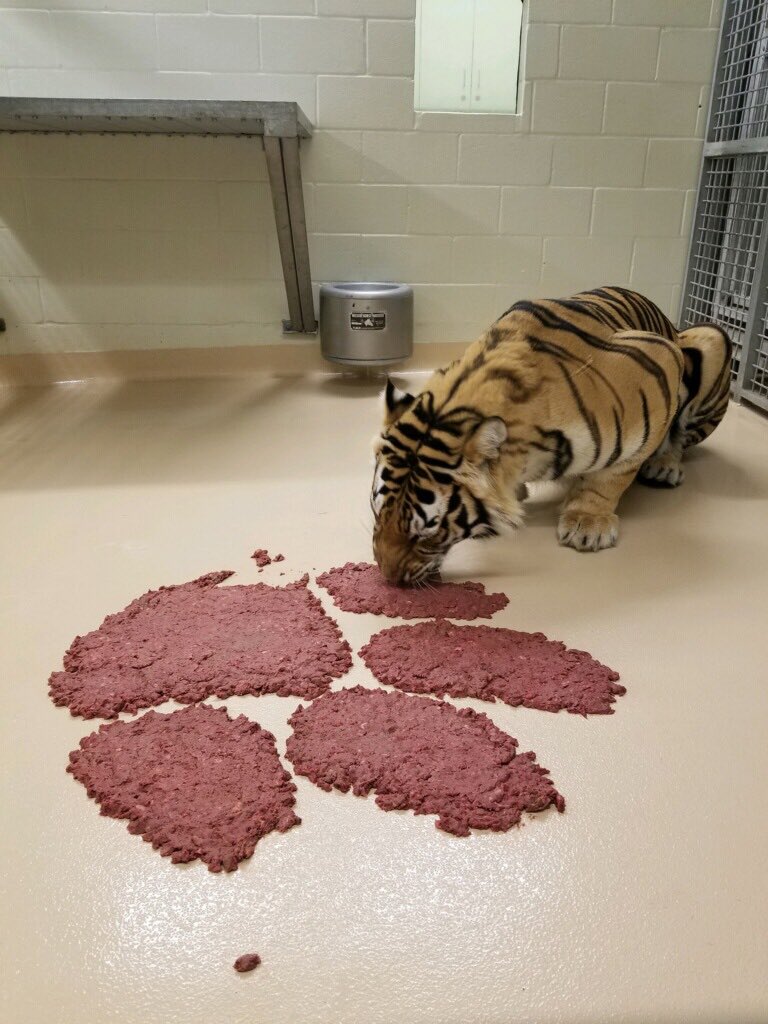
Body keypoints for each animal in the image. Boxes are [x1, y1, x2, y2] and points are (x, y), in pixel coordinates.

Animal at [371, 286, 732, 585]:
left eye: (427, 534)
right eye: (377, 512)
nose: (387, 578)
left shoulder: (660, 360)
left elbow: (614, 474)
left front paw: (588, 522)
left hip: (712, 337)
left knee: (681, 436)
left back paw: (665, 465)